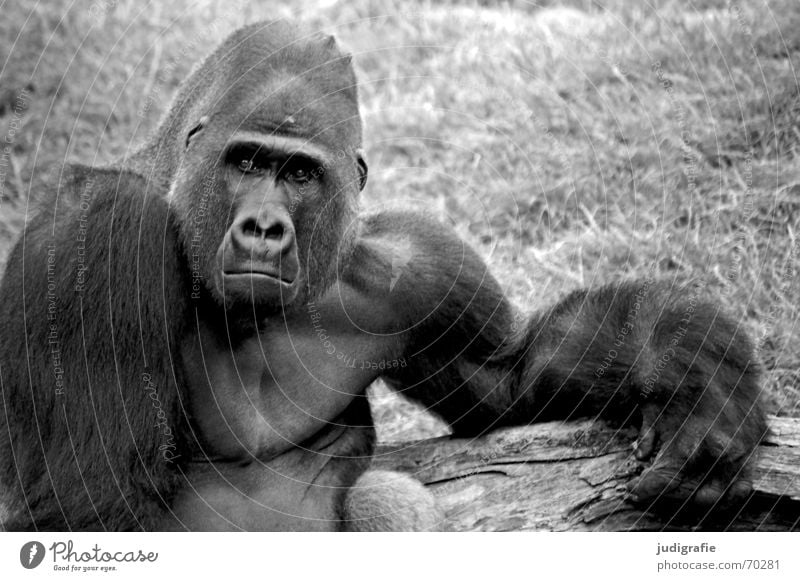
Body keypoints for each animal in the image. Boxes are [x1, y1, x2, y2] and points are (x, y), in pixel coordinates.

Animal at [0, 21, 764, 532]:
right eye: (246, 161)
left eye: (300, 173)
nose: (264, 228)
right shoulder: (98, 233)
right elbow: (86, 505)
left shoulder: (419, 274)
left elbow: (510, 380)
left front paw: (697, 379)